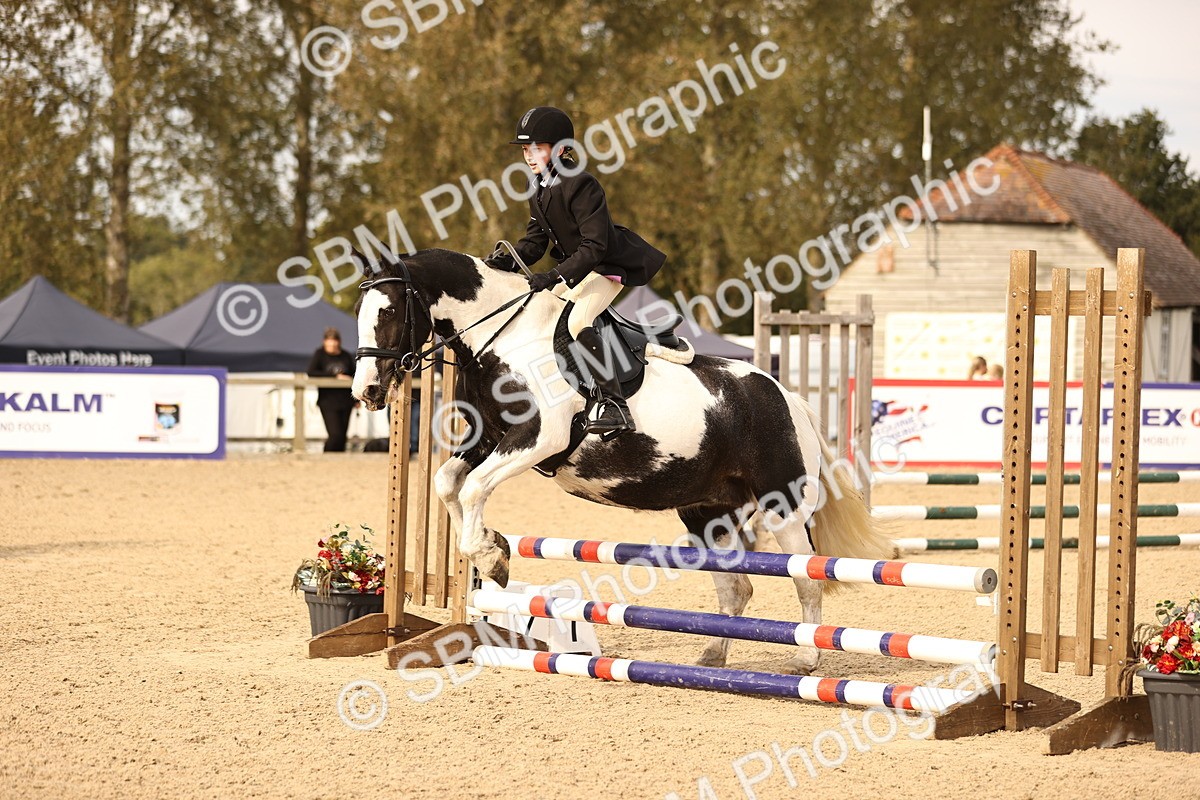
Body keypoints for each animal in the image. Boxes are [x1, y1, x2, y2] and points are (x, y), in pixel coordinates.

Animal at [351, 247, 890, 674]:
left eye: (391, 312)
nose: (367, 393)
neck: (505, 339)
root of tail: (786, 396)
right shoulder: (488, 441)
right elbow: (449, 482)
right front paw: (493, 548)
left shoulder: (538, 438)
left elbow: (473, 487)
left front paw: (488, 555)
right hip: (708, 513)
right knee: (735, 588)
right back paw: (712, 658)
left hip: (784, 506)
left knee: (806, 576)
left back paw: (806, 658)